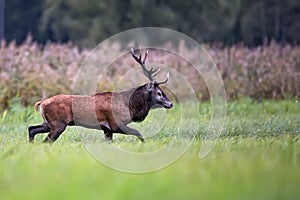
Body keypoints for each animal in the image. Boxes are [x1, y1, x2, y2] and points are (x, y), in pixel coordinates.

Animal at [28, 47, 173, 143]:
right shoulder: (115, 124)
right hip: (58, 123)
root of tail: (42, 103)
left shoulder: (107, 129)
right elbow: (139, 133)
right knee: (46, 141)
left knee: (31, 129)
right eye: (159, 93)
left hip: (49, 122)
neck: (130, 106)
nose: (170, 104)